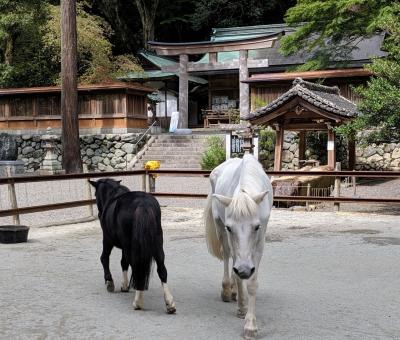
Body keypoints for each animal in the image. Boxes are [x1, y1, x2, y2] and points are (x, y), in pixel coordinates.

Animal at [89, 178, 177, 314]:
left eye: (95, 194)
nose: (99, 214)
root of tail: (143, 204)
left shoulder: (108, 240)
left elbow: (105, 258)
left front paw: (110, 282)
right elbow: (123, 262)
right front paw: (124, 285)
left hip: (130, 246)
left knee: (137, 268)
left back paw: (138, 302)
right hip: (157, 244)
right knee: (162, 270)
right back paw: (169, 303)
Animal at [205, 155, 274, 340]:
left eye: (256, 227)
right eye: (230, 228)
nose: (244, 269)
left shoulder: (259, 245)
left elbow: (252, 283)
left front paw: (250, 326)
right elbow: (235, 270)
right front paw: (243, 309)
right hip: (219, 227)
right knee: (226, 255)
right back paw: (227, 290)